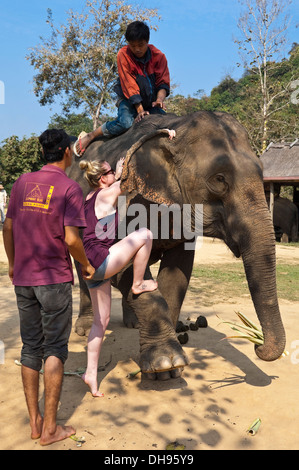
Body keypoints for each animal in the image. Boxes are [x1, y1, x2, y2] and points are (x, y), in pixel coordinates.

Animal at [67, 110, 288, 378]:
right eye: (219, 179)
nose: (258, 346)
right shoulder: (126, 203)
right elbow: (118, 262)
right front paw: (165, 363)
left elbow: (176, 275)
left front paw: (168, 371)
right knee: (85, 272)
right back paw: (84, 328)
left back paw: (132, 324)